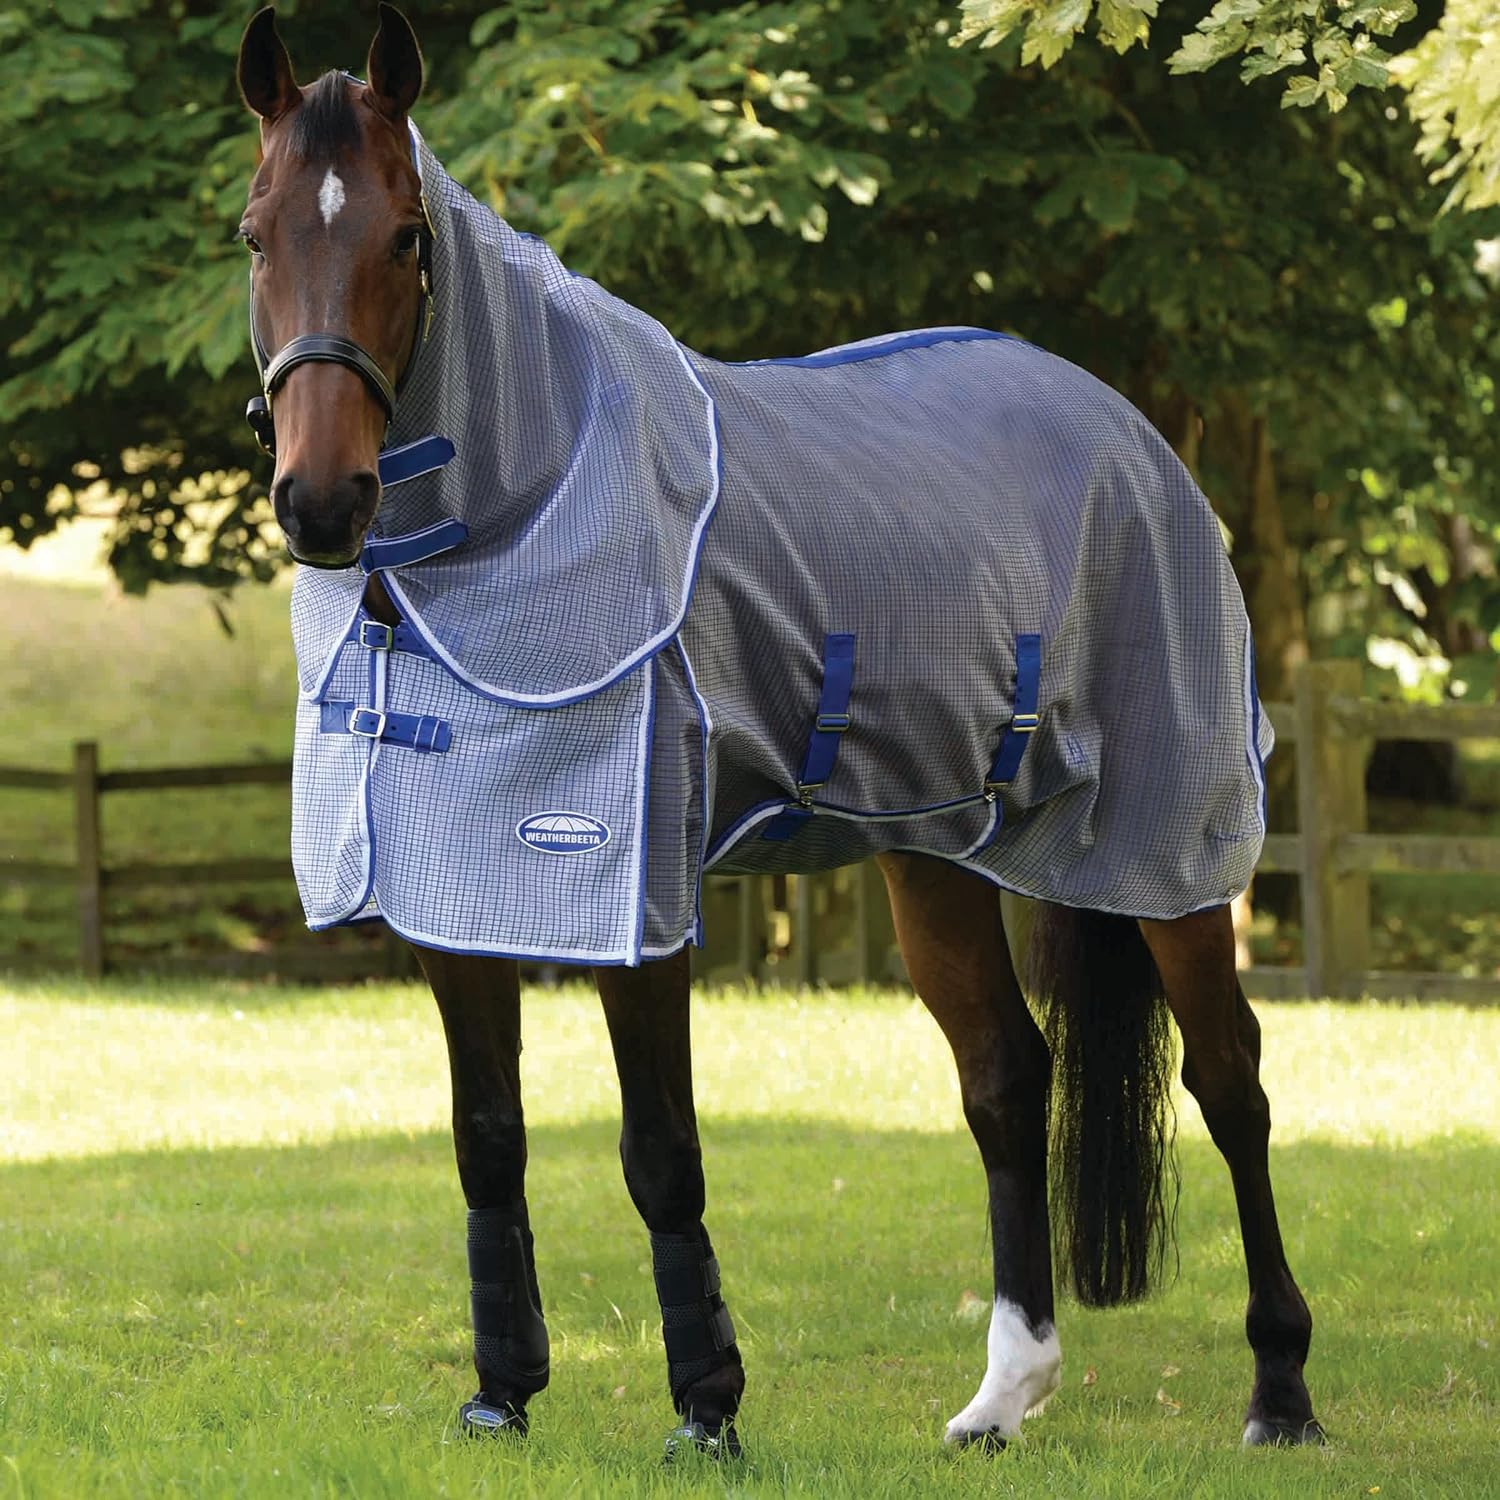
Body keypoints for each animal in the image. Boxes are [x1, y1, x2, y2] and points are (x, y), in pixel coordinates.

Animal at [235, 4, 1323, 1458]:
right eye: (256, 234)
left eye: (406, 238)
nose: (322, 502)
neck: (528, 508)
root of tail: (1135, 438)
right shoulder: (454, 898)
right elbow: (486, 1136)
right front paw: (501, 1395)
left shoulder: (635, 898)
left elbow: (660, 1153)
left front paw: (707, 1410)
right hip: (937, 853)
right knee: (1006, 1078)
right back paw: (1004, 1395)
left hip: (1170, 838)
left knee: (1232, 1082)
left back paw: (1280, 1390)